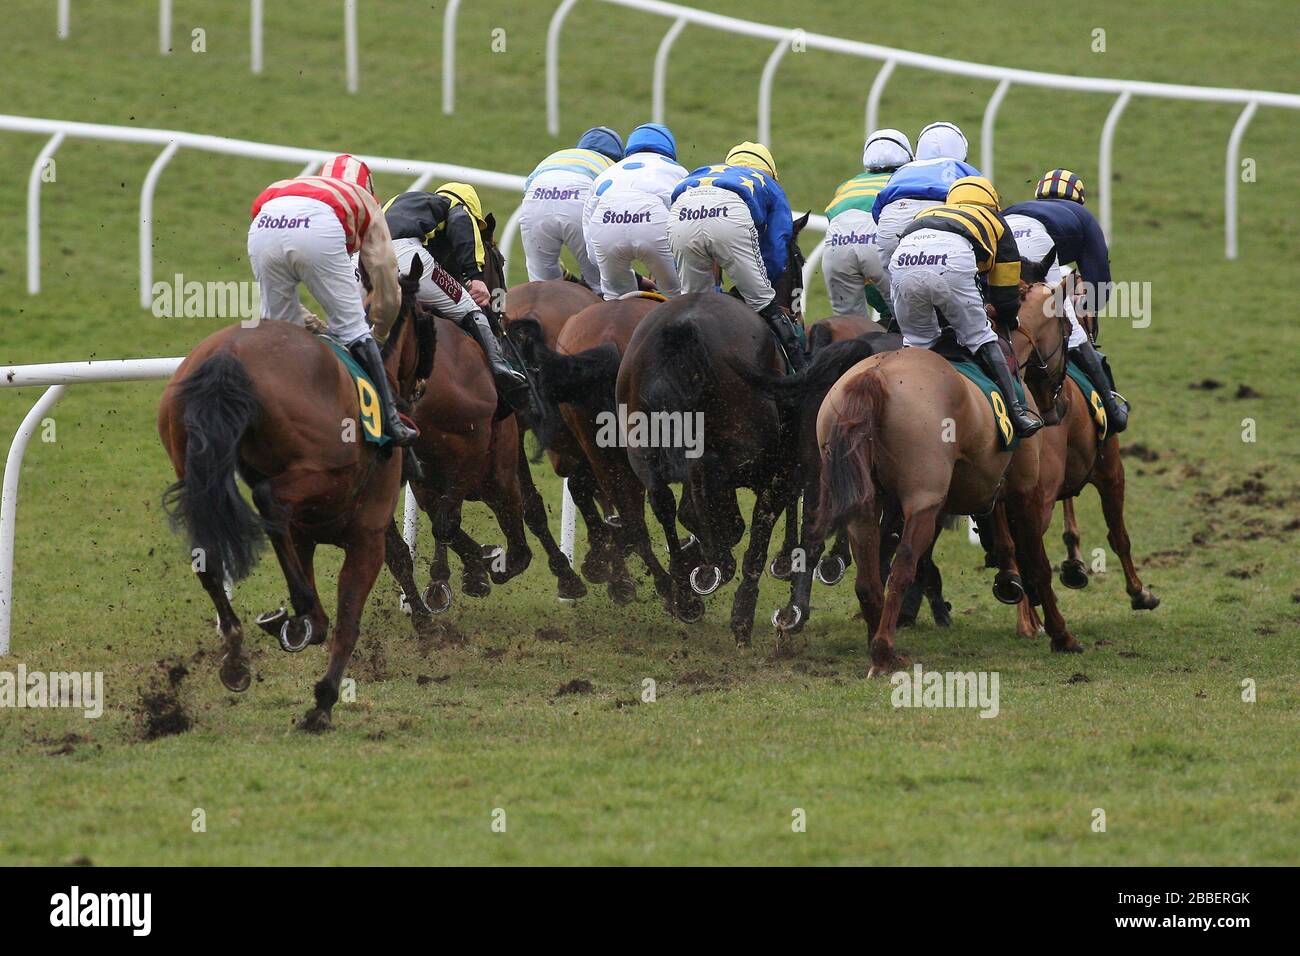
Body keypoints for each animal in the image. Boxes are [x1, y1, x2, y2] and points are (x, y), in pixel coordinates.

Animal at [156, 257, 421, 728]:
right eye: (427, 323)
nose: (416, 391)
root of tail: (228, 356)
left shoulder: (304, 537)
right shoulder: (365, 536)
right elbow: (349, 618)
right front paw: (323, 699)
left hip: (193, 468)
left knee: (207, 553)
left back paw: (237, 653)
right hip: (320, 467)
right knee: (267, 499)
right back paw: (302, 613)